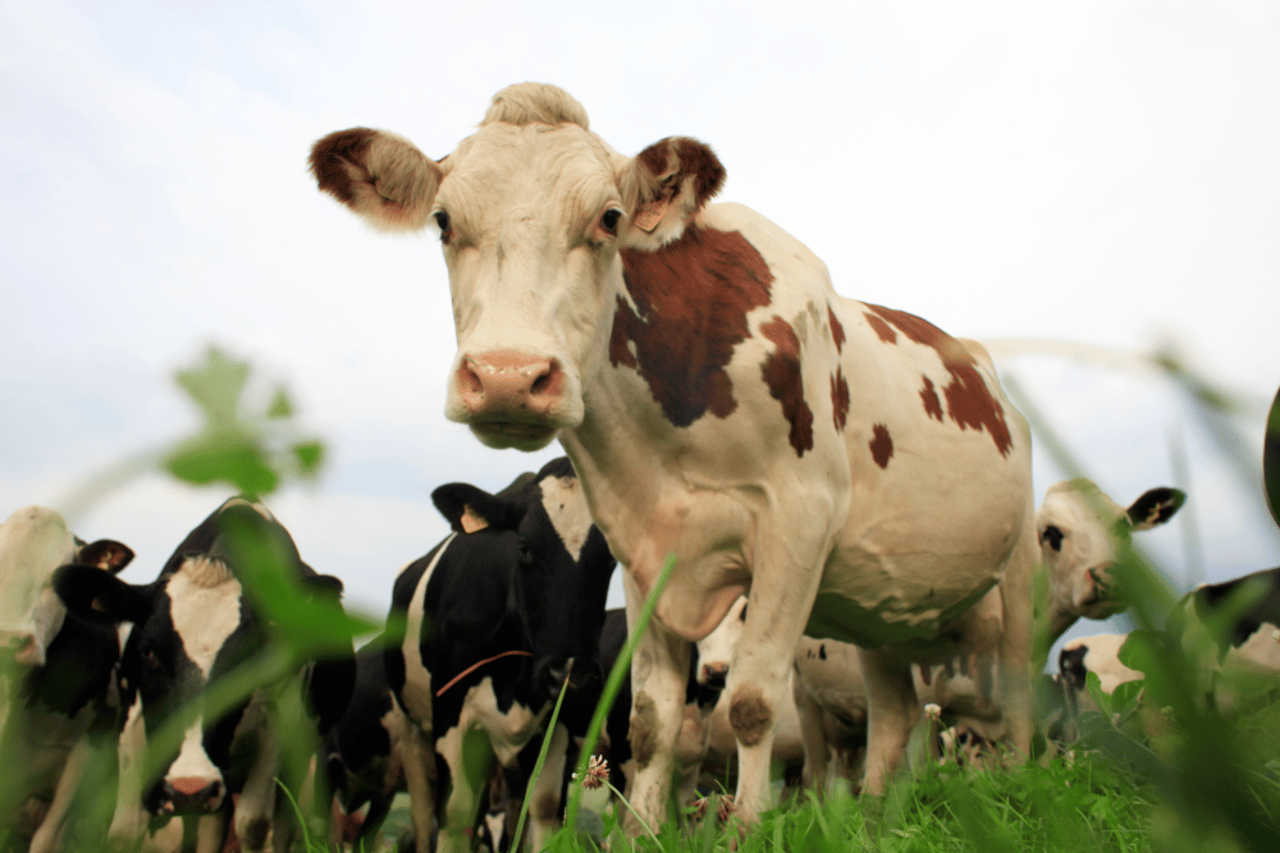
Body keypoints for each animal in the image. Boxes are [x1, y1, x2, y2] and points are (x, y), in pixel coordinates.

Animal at [54, 494, 355, 850]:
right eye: (148, 651)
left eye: (250, 654)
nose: (190, 787)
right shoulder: (134, 722)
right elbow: (125, 830)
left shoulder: (281, 719)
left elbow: (253, 824)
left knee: (279, 824)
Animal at [384, 458, 614, 850]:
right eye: (523, 547)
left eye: (613, 555)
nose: (572, 673)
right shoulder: (451, 715)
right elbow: (456, 813)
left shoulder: (559, 721)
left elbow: (544, 807)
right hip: (411, 728)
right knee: (423, 814)